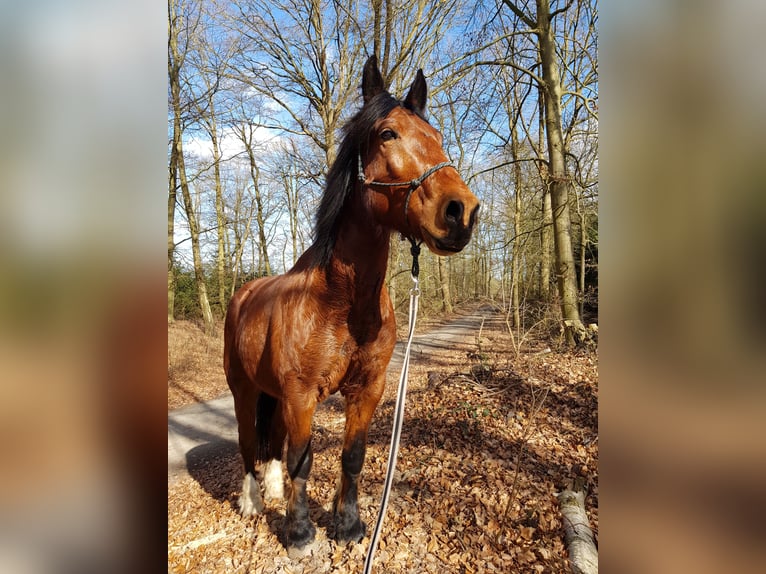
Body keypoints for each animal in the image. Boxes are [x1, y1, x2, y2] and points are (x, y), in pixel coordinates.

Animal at [224, 55, 480, 552]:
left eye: (437, 136)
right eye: (387, 133)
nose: (462, 211)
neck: (341, 304)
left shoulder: (367, 390)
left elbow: (352, 456)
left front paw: (348, 525)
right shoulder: (301, 395)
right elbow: (304, 461)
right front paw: (300, 533)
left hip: (271, 393)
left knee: (272, 443)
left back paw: (273, 491)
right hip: (243, 389)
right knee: (247, 443)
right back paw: (253, 502)